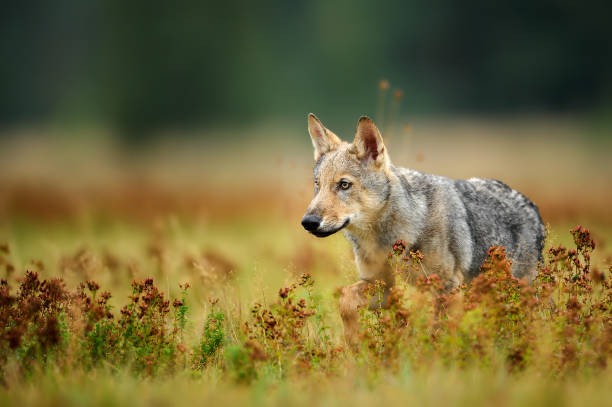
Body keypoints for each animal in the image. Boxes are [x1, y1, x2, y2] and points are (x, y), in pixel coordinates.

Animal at [302, 114, 544, 344]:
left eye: (344, 185)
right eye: (317, 184)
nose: (308, 222)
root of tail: (532, 207)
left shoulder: (447, 287)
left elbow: (441, 333)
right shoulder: (382, 286)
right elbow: (345, 299)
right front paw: (354, 343)